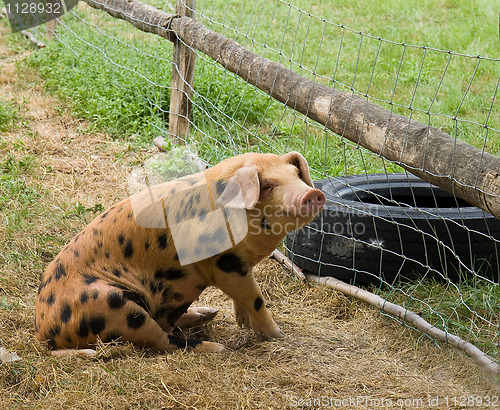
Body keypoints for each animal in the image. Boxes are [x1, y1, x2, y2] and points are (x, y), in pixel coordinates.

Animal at [34, 151, 324, 352]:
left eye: (297, 176)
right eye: (269, 185)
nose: (313, 193)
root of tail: (44, 331)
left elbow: (243, 297)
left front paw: (241, 322)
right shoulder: (224, 263)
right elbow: (255, 298)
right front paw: (278, 335)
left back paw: (208, 314)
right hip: (115, 307)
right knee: (164, 341)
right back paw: (220, 348)